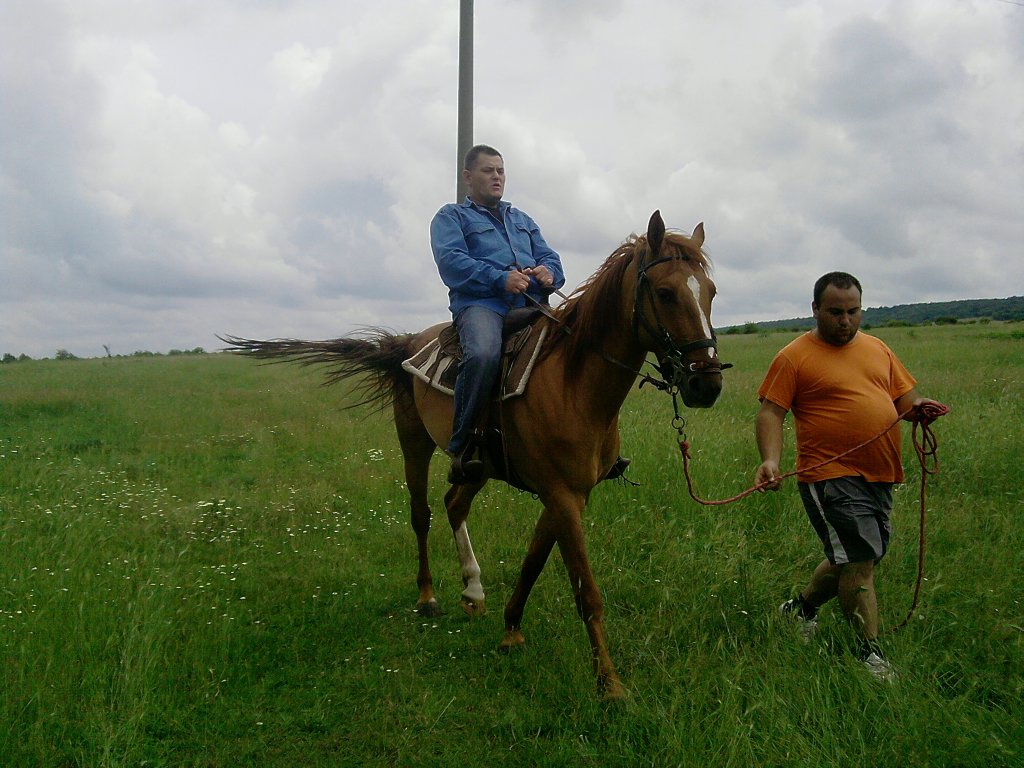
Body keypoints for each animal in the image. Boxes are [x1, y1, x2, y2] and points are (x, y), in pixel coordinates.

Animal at [220, 208, 724, 696]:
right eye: (665, 293)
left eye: (712, 293)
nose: (707, 383)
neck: (573, 384)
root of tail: (407, 343)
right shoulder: (561, 495)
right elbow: (586, 592)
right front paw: (610, 684)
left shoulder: (567, 495)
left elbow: (533, 562)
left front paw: (511, 628)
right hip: (414, 443)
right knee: (421, 513)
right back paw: (428, 598)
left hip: (474, 466)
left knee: (454, 504)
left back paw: (473, 590)